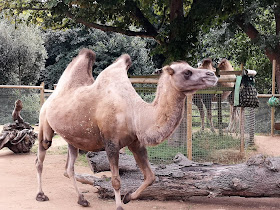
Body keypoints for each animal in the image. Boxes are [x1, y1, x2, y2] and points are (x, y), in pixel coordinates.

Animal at [35, 48, 219, 210]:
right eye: (187, 72)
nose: (212, 75)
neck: (135, 113)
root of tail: (50, 97)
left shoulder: (136, 143)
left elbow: (151, 177)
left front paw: (128, 197)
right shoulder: (111, 143)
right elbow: (116, 180)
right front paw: (119, 205)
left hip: (72, 138)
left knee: (69, 168)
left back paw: (82, 200)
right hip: (44, 123)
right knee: (41, 157)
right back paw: (41, 195)